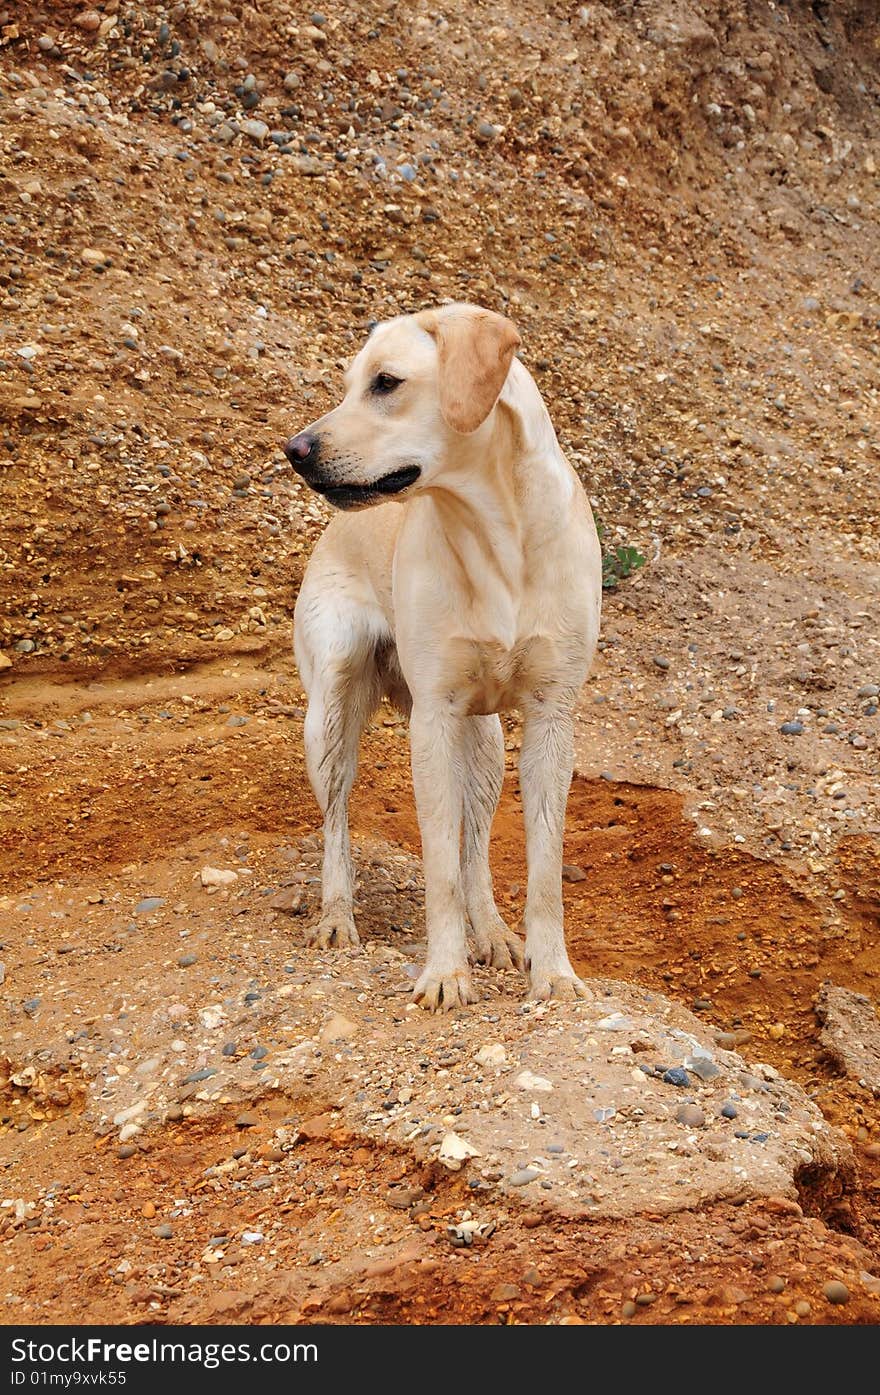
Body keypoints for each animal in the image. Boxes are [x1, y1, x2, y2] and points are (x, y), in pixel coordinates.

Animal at [285, 302, 602, 1015]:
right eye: (350, 385)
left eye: (386, 383)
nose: (294, 450)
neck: (495, 536)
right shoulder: (431, 719)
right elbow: (436, 869)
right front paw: (445, 975)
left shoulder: (551, 718)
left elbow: (540, 870)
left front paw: (552, 972)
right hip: (331, 712)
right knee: (337, 827)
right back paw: (337, 916)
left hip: (485, 741)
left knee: (476, 849)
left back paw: (495, 932)